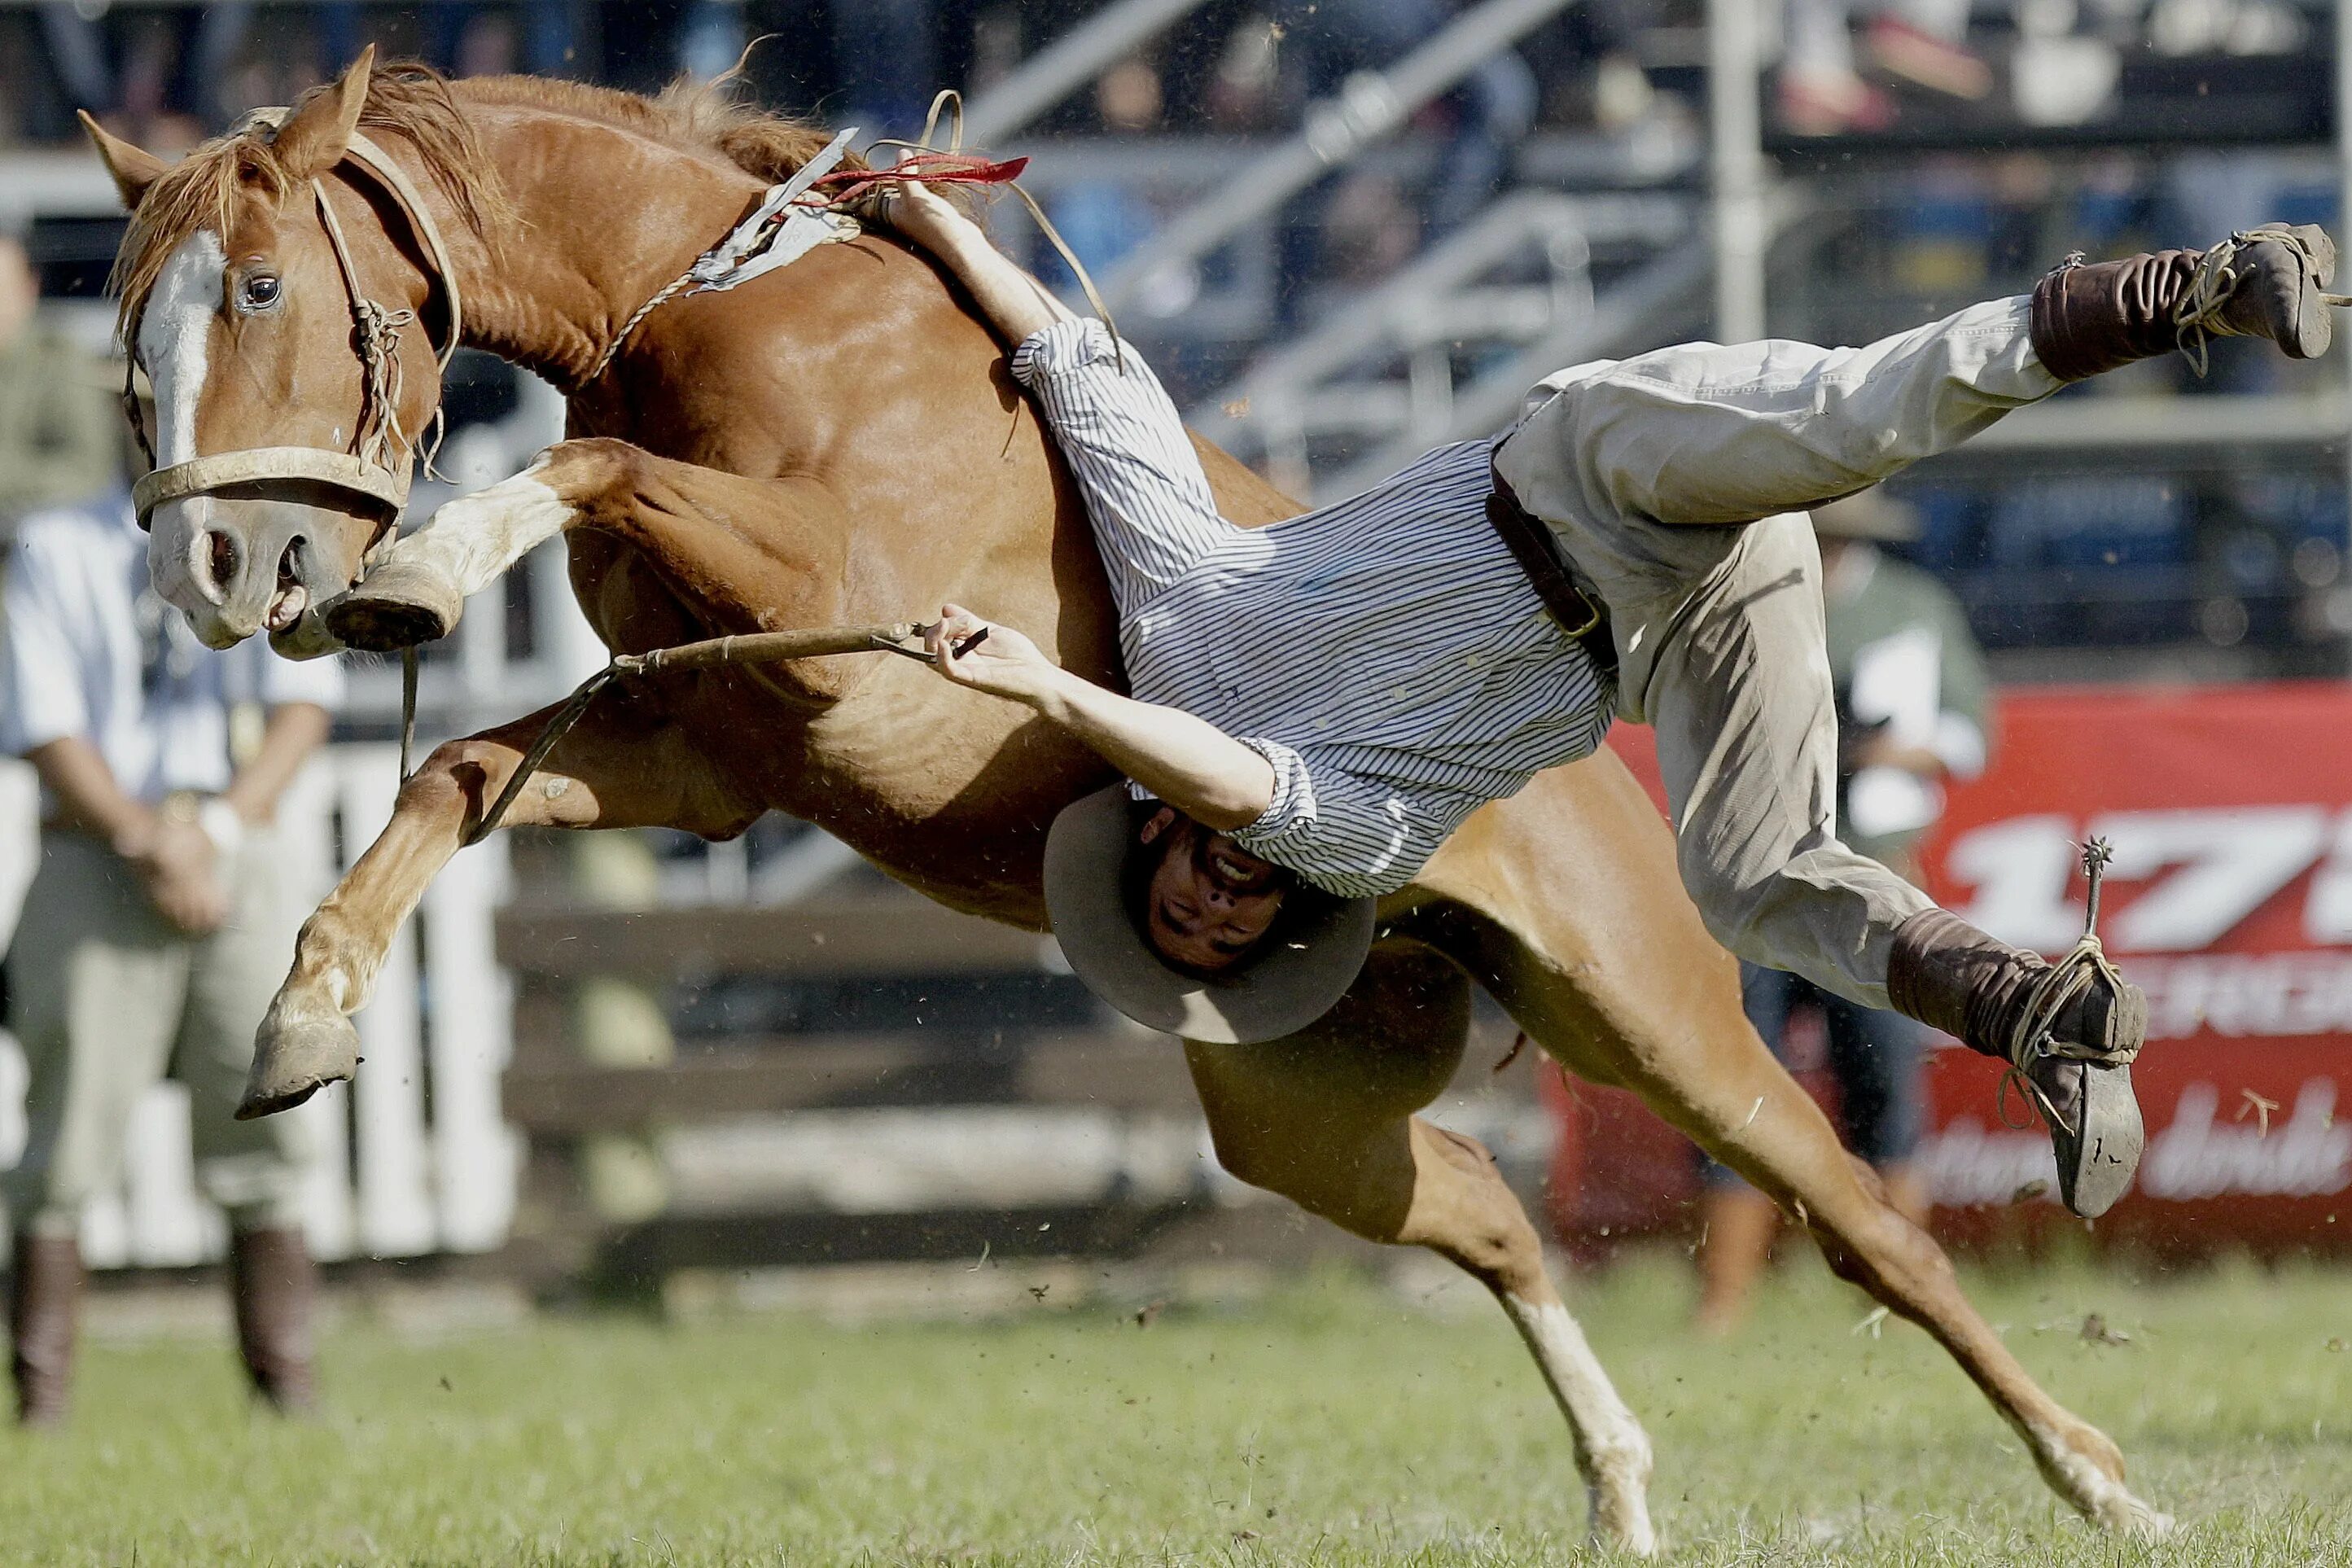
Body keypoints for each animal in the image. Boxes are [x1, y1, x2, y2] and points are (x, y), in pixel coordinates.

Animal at [91, 58, 2163, 1542]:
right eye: (127, 333)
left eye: (263, 285)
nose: (220, 566)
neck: (736, 325)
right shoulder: (713, 741)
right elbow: (456, 768)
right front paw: (301, 1017)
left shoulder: (827, 620)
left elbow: (586, 470)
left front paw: (426, 568)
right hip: (1296, 1108)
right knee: (1492, 1217)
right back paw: (1623, 1488)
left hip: (1648, 1010)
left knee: (1863, 1220)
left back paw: (2097, 1458)